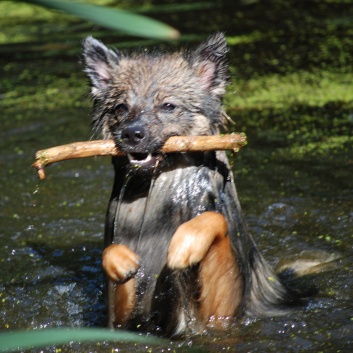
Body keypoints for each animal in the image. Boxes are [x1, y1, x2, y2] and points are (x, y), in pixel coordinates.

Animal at [81, 33, 304, 336]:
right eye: (121, 107)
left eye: (168, 106)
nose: (131, 133)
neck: (160, 191)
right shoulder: (122, 322)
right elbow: (111, 253)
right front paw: (121, 260)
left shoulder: (222, 315)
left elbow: (214, 220)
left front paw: (184, 245)